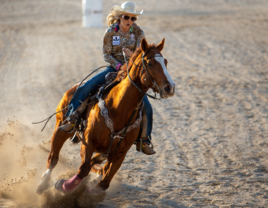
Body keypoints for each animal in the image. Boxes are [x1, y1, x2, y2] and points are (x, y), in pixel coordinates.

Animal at [35, 37, 176, 197]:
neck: (118, 108)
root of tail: (74, 88)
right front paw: (63, 185)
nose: (170, 87)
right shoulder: (88, 141)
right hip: (61, 127)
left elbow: (104, 181)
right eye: (150, 63)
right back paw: (43, 183)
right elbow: (83, 169)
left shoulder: (121, 152)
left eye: (165, 62)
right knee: (53, 157)